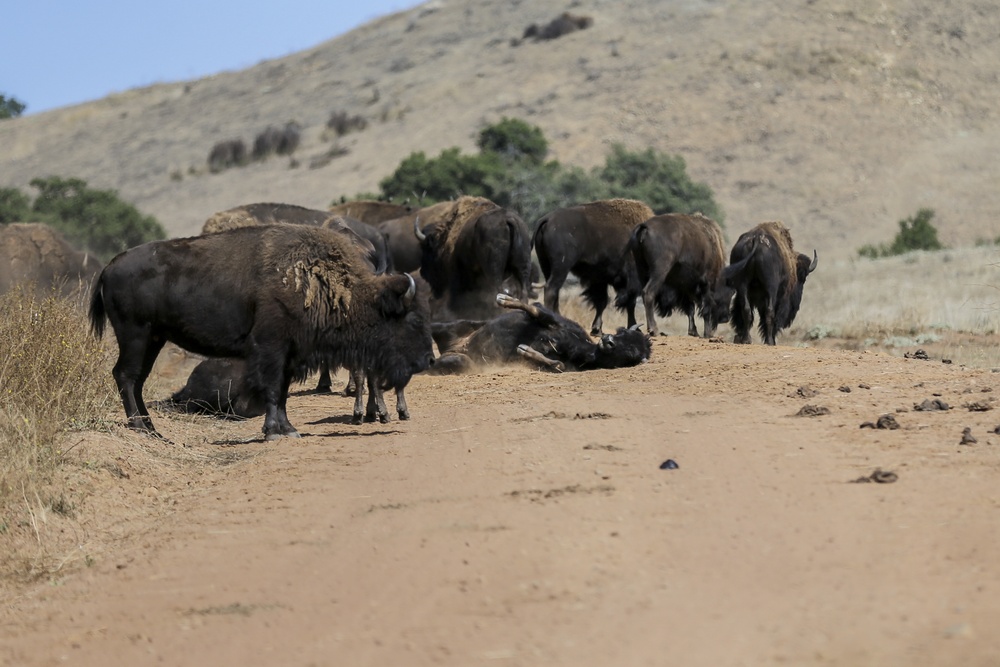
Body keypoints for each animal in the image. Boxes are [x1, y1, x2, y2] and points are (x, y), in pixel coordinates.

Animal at [92, 227, 436, 440]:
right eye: (413, 320)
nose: (429, 360)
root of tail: (109, 267)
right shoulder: (272, 348)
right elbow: (272, 389)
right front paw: (272, 431)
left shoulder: (291, 355)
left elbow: (282, 393)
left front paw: (288, 429)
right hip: (135, 335)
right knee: (125, 376)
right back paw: (139, 427)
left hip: (153, 339)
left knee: (136, 380)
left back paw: (152, 429)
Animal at [532, 198, 656, 334]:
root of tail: (547, 219)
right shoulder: (630, 279)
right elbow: (629, 303)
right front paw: (636, 327)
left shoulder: (599, 279)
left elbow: (602, 301)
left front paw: (597, 329)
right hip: (561, 268)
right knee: (551, 289)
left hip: (546, 266)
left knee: (554, 291)